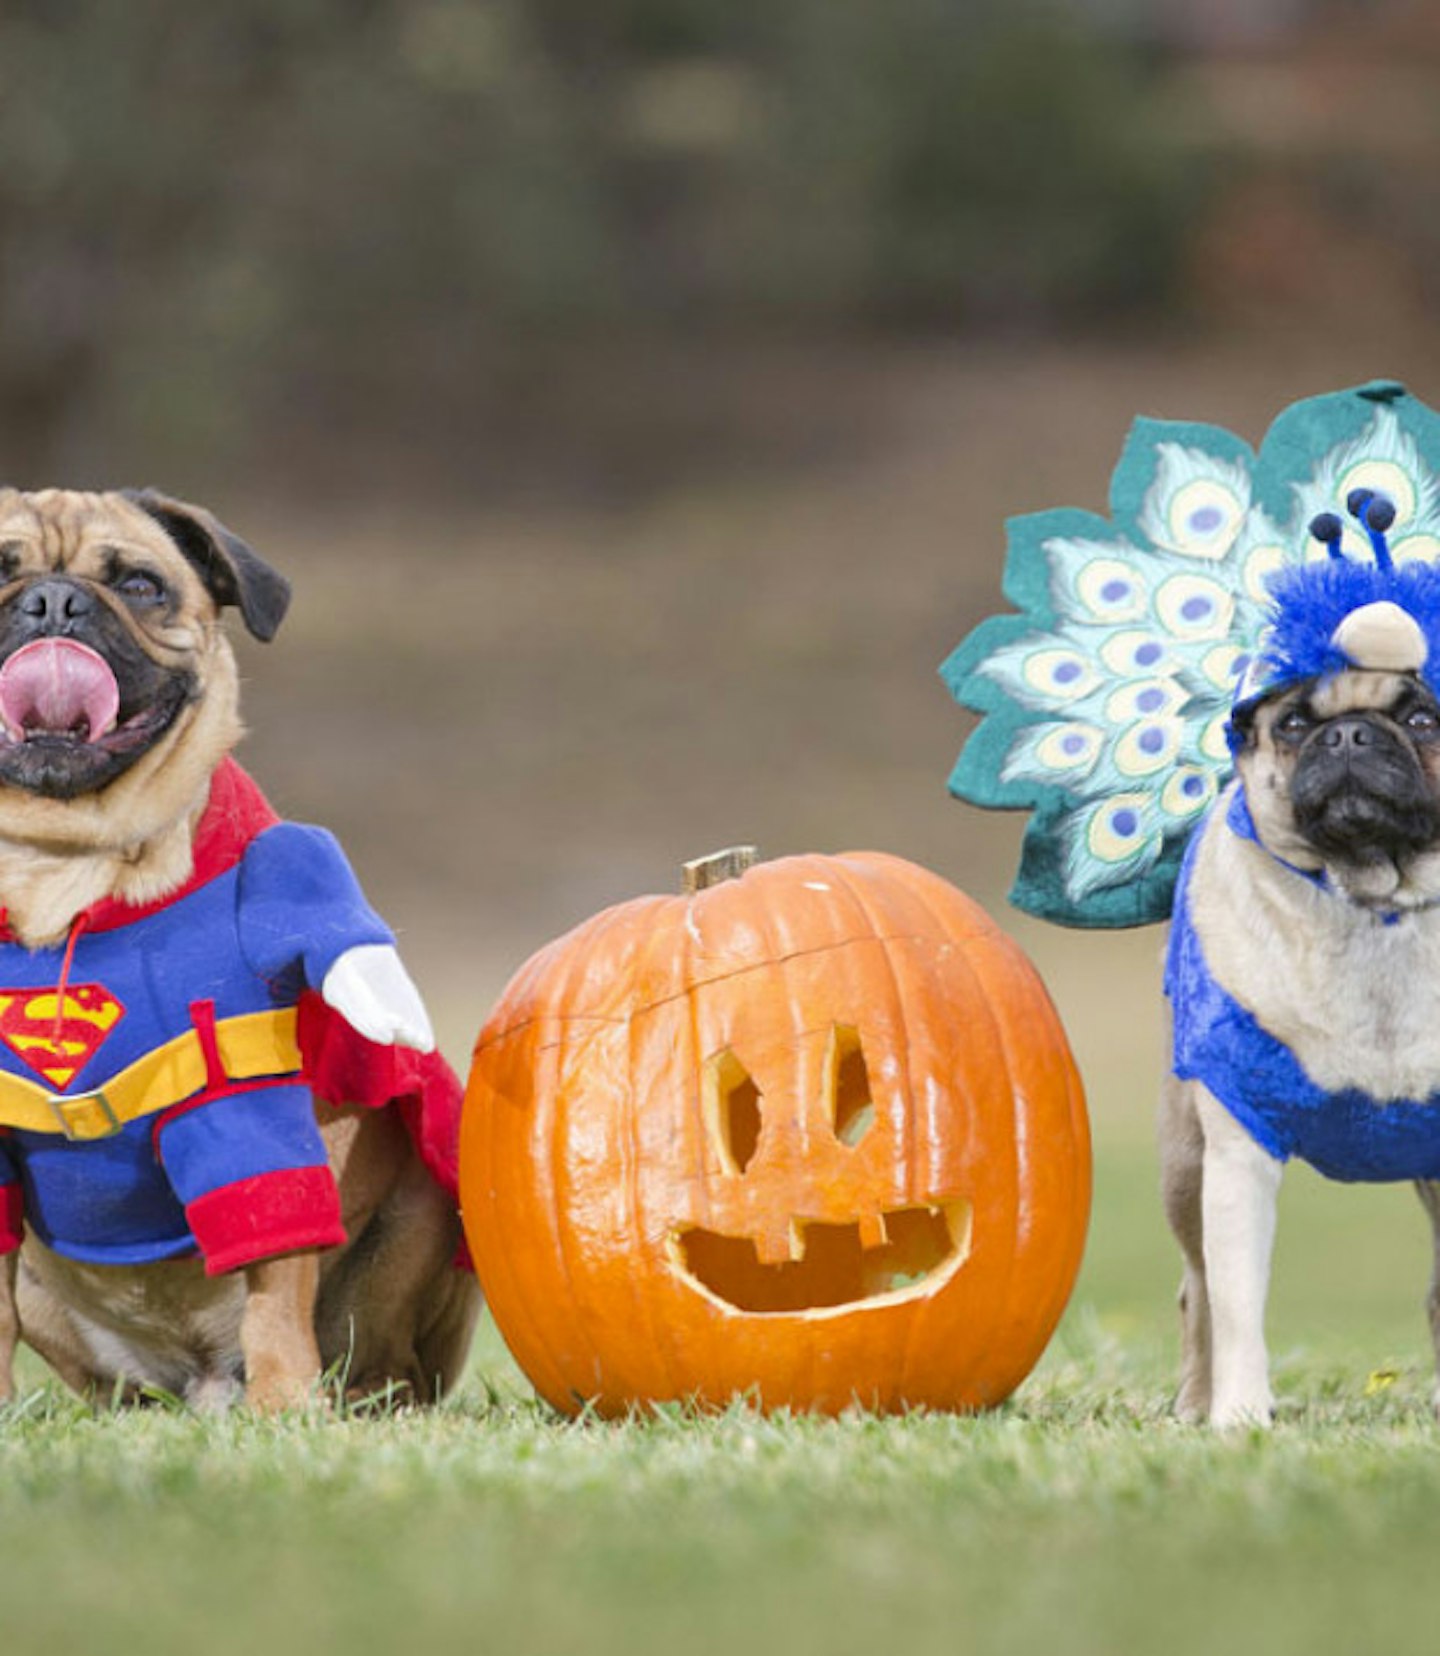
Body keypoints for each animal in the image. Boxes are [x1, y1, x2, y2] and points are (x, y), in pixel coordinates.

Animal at [0, 483, 480, 1410]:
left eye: (140, 585)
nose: (52, 602)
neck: (55, 868)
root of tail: (197, 1380)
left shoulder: (241, 1104)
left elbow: (272, 1274)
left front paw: (286, 1403)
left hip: (418, 1220)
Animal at [1158, 503, 1440, 1424]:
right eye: (1291, 725)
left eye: (1422, 720)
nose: (1349, 734)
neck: (1379, 901)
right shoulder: (1237, 1147)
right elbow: (1239, 1304)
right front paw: (1242, 1417)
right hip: (1184, 1164)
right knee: (1199, 1293)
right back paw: (1195, 1405)